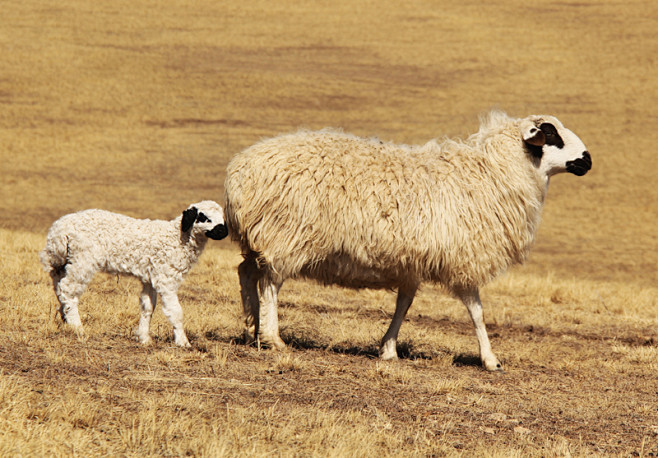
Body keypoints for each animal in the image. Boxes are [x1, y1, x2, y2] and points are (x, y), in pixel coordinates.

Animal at [39, 200, 228, 348]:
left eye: (223, 216)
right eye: (203, 217)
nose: (223, 231)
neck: (177, 237)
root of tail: (59, 230)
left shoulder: (151, 277)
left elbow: (147, 307)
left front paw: (144, 338)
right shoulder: (166, 279)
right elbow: (176, 312)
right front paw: (183, 342)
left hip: (63, 260)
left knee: (58, 283)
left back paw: (65, 318)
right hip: (83, 260)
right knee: (68, 289)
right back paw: (78, 329)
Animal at [226, 112, 588, 372]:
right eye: (551, 134)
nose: (587, 160)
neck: (494, 173)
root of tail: (239, 172)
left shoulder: (411, 261)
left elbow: (404, 303)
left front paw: (388, 349)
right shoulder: (463, 257)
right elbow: (476, 311)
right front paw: (490, 360)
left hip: (258, 238)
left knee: (247, 273)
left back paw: (250, 328)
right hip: (286, 235)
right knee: (270, 283)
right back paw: (272, 337)